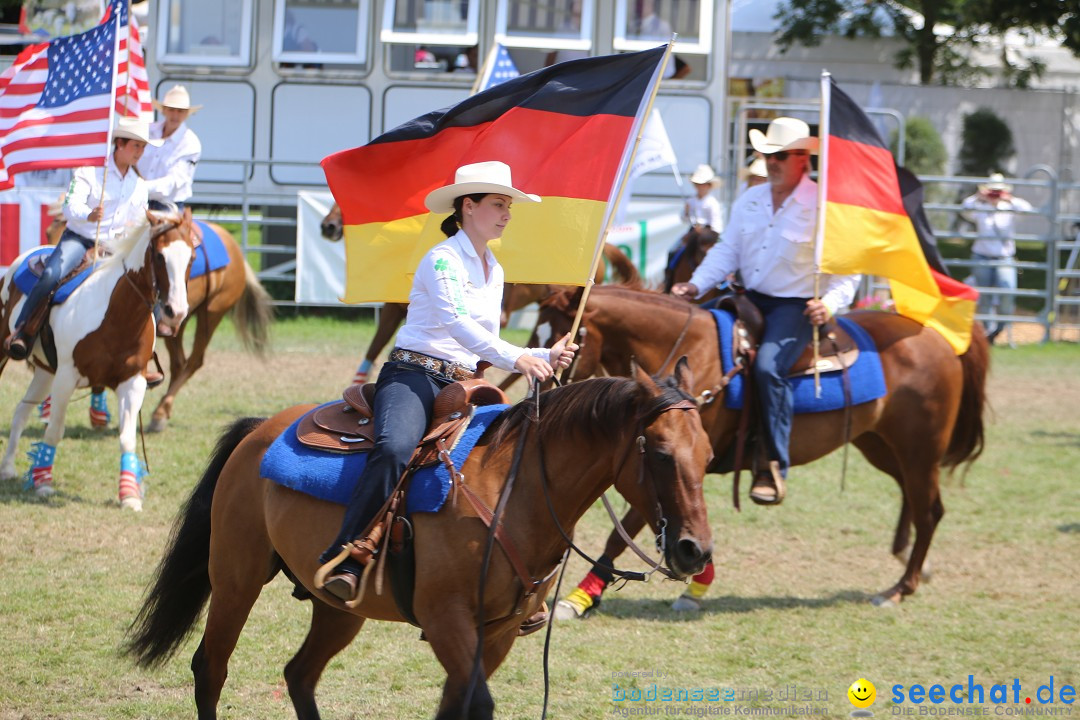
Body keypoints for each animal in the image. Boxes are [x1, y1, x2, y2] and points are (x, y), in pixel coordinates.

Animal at [0, 211, 196, 509]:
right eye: (160, 256)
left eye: (192, 256)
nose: (177, 312)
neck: (116, 314)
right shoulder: (66, 378)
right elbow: (55, 430)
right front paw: (43, 482)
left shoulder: (133, 382)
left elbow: (127, 438)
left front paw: (129, 494)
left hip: (45, 372)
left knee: (21, 411)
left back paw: (8, 468)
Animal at [122, 369, 712, 716]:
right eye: (661, 454)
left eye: (708, 455)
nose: (695, 551)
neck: (514, 490)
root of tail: (259, 430)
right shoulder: (446, 618)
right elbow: (476, 705)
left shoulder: (496, 634)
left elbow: (457, 706)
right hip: (236, 579)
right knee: (210, 669)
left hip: (339, 608)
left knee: (299, 674)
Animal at [149, 211, 274, 431]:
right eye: (159, 256)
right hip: (179, 321)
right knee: (179, 362)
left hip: (211, 312)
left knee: (194, 361)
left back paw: (160, 413)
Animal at [531, 284, 989, 604]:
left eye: (567, 343)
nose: (541, 393)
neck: (694, 352)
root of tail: (941, 338)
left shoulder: (669, 463)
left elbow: (624, 530)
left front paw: (581, 597)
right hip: (880, 445)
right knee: (912, 498)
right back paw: (910, 563)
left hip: (919, 450)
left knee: (930, 509)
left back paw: (900, 588)